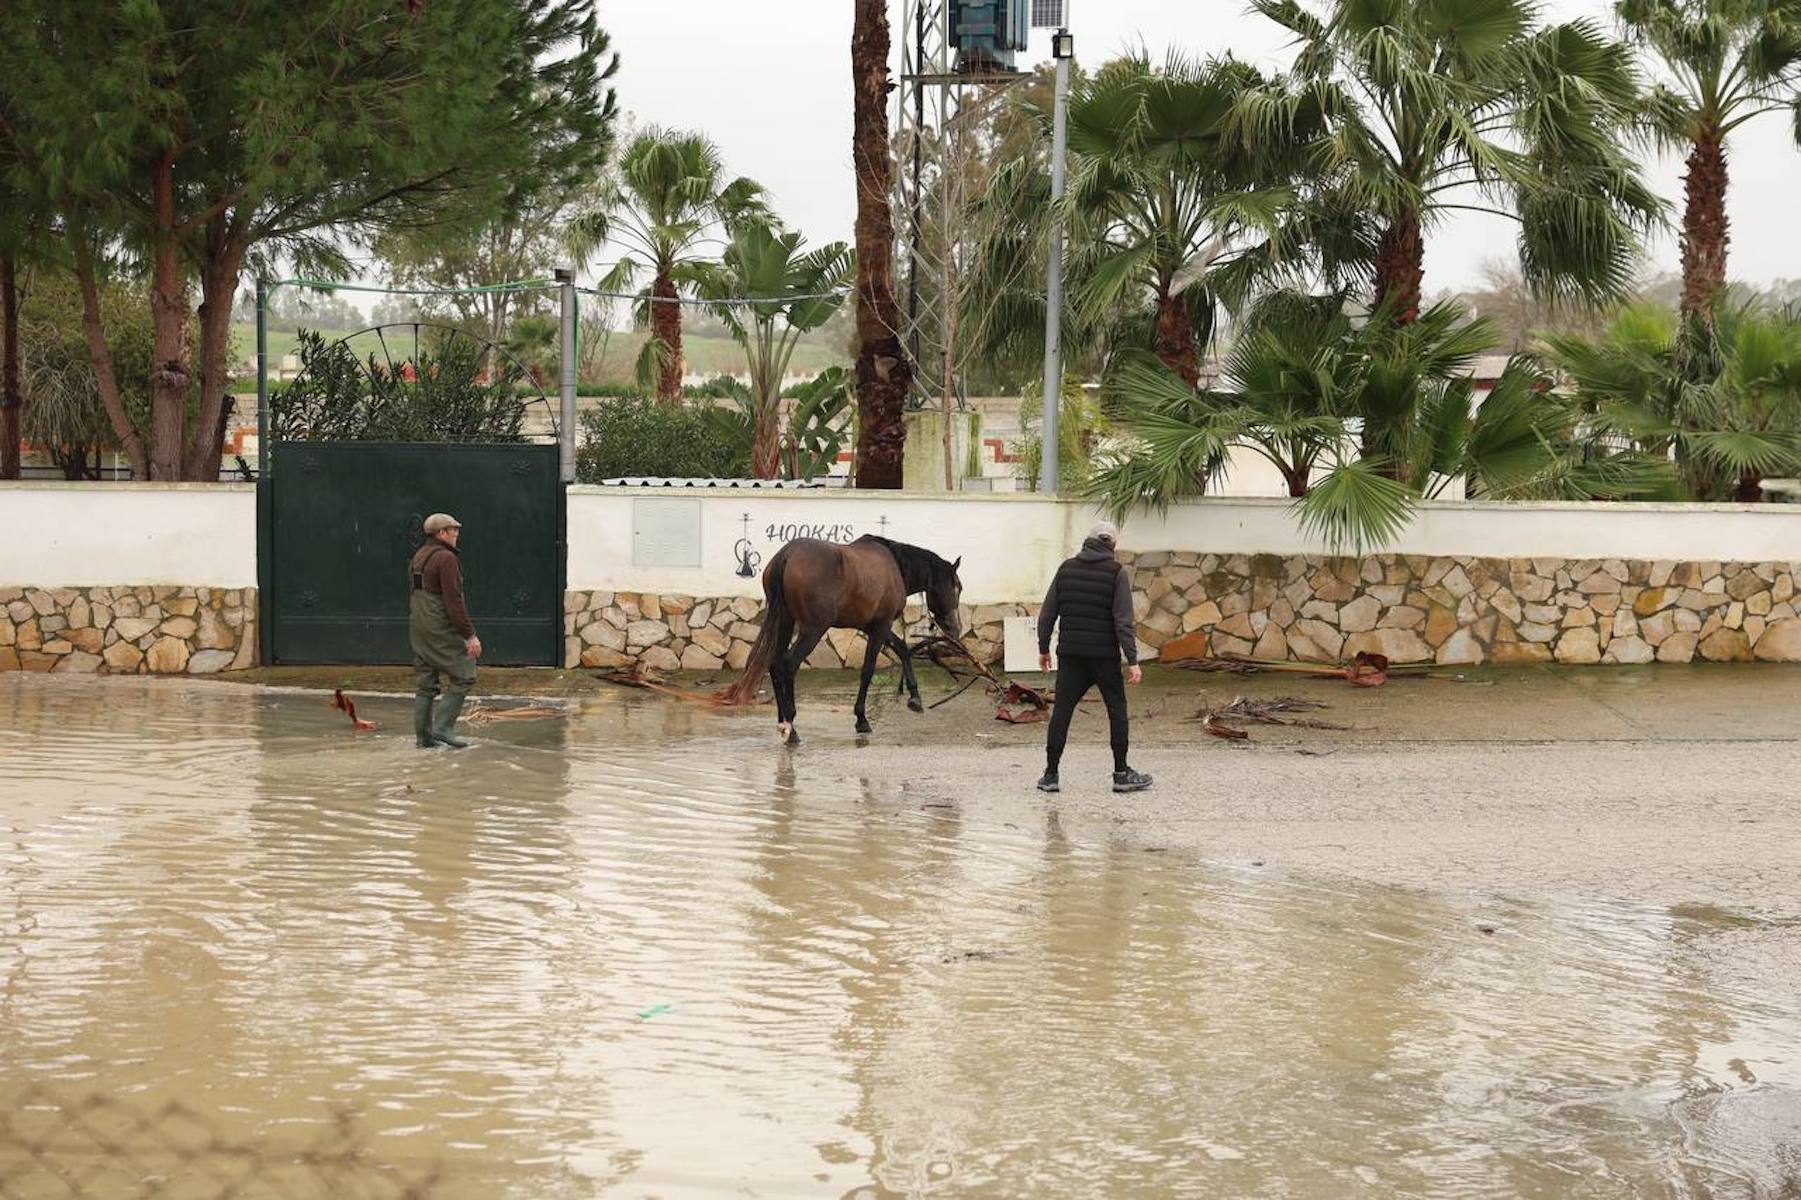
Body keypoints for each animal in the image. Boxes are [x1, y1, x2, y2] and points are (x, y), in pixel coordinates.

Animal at [719, 535, 964, 745]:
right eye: (956, 587)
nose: (955, 628)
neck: (894, 565)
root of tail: (786, 556)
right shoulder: (880, 626)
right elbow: (868, 670)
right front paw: (862, 719)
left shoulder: (872, 626)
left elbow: (902, 648)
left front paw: (915, 698)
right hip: (813, 629)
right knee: (788, 664)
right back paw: (792, 728)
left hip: (786, 622)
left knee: (775, 664)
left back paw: (783, 724)